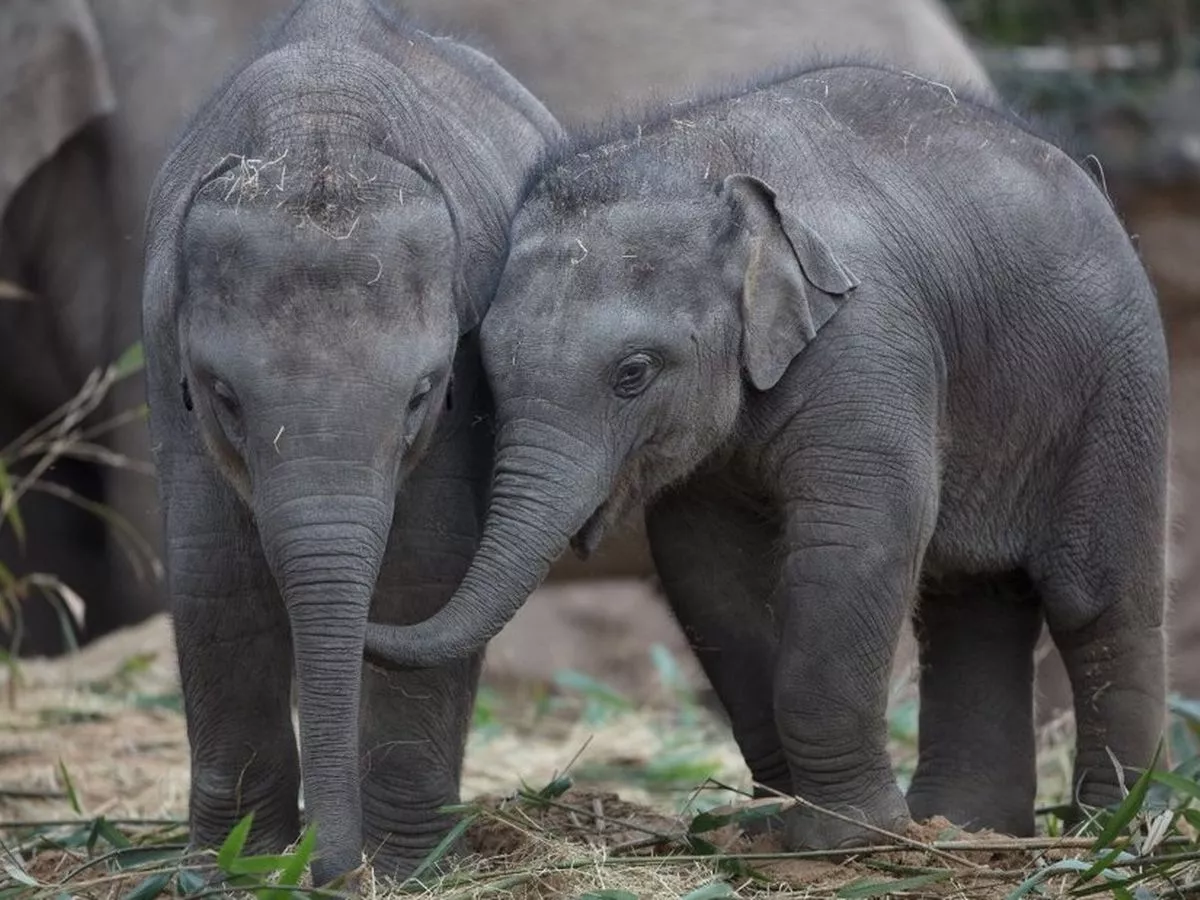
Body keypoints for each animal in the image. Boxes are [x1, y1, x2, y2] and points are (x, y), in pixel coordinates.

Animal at [141, 0, 560, 883]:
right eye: (223, 396)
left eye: (423, 394)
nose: (327, 869)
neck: (320, 126)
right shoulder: (160, 343)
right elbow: (212, 572)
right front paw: (230, 868)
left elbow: (427, 567)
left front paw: (405, 871)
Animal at [365, 64, 1170, 846]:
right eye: (487, 373)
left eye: (633, 373)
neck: (703, 165)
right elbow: (707, 567)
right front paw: (778, 826)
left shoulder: (869, 341)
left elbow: (861, 533)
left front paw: (850, 840)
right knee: (970, 600)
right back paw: (968, 829)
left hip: (1117, 385)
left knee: (1097, 600)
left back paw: (1116, 831)